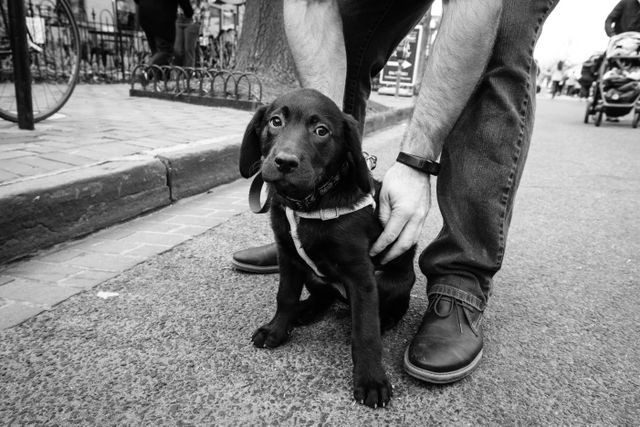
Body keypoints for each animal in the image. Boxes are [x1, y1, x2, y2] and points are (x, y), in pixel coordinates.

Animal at [239, 88, 416, 410]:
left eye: (321, 131)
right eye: (275, 121)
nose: (285, 162)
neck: (308, 203)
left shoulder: (361, 275)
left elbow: (365, 332)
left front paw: (371, 380)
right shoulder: (288, 257)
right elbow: (284, 296)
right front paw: (276, 329)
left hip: (390, 281)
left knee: (392, 309)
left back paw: (384, 321)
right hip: (313, 276)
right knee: (323, 296)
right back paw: (304, 310)